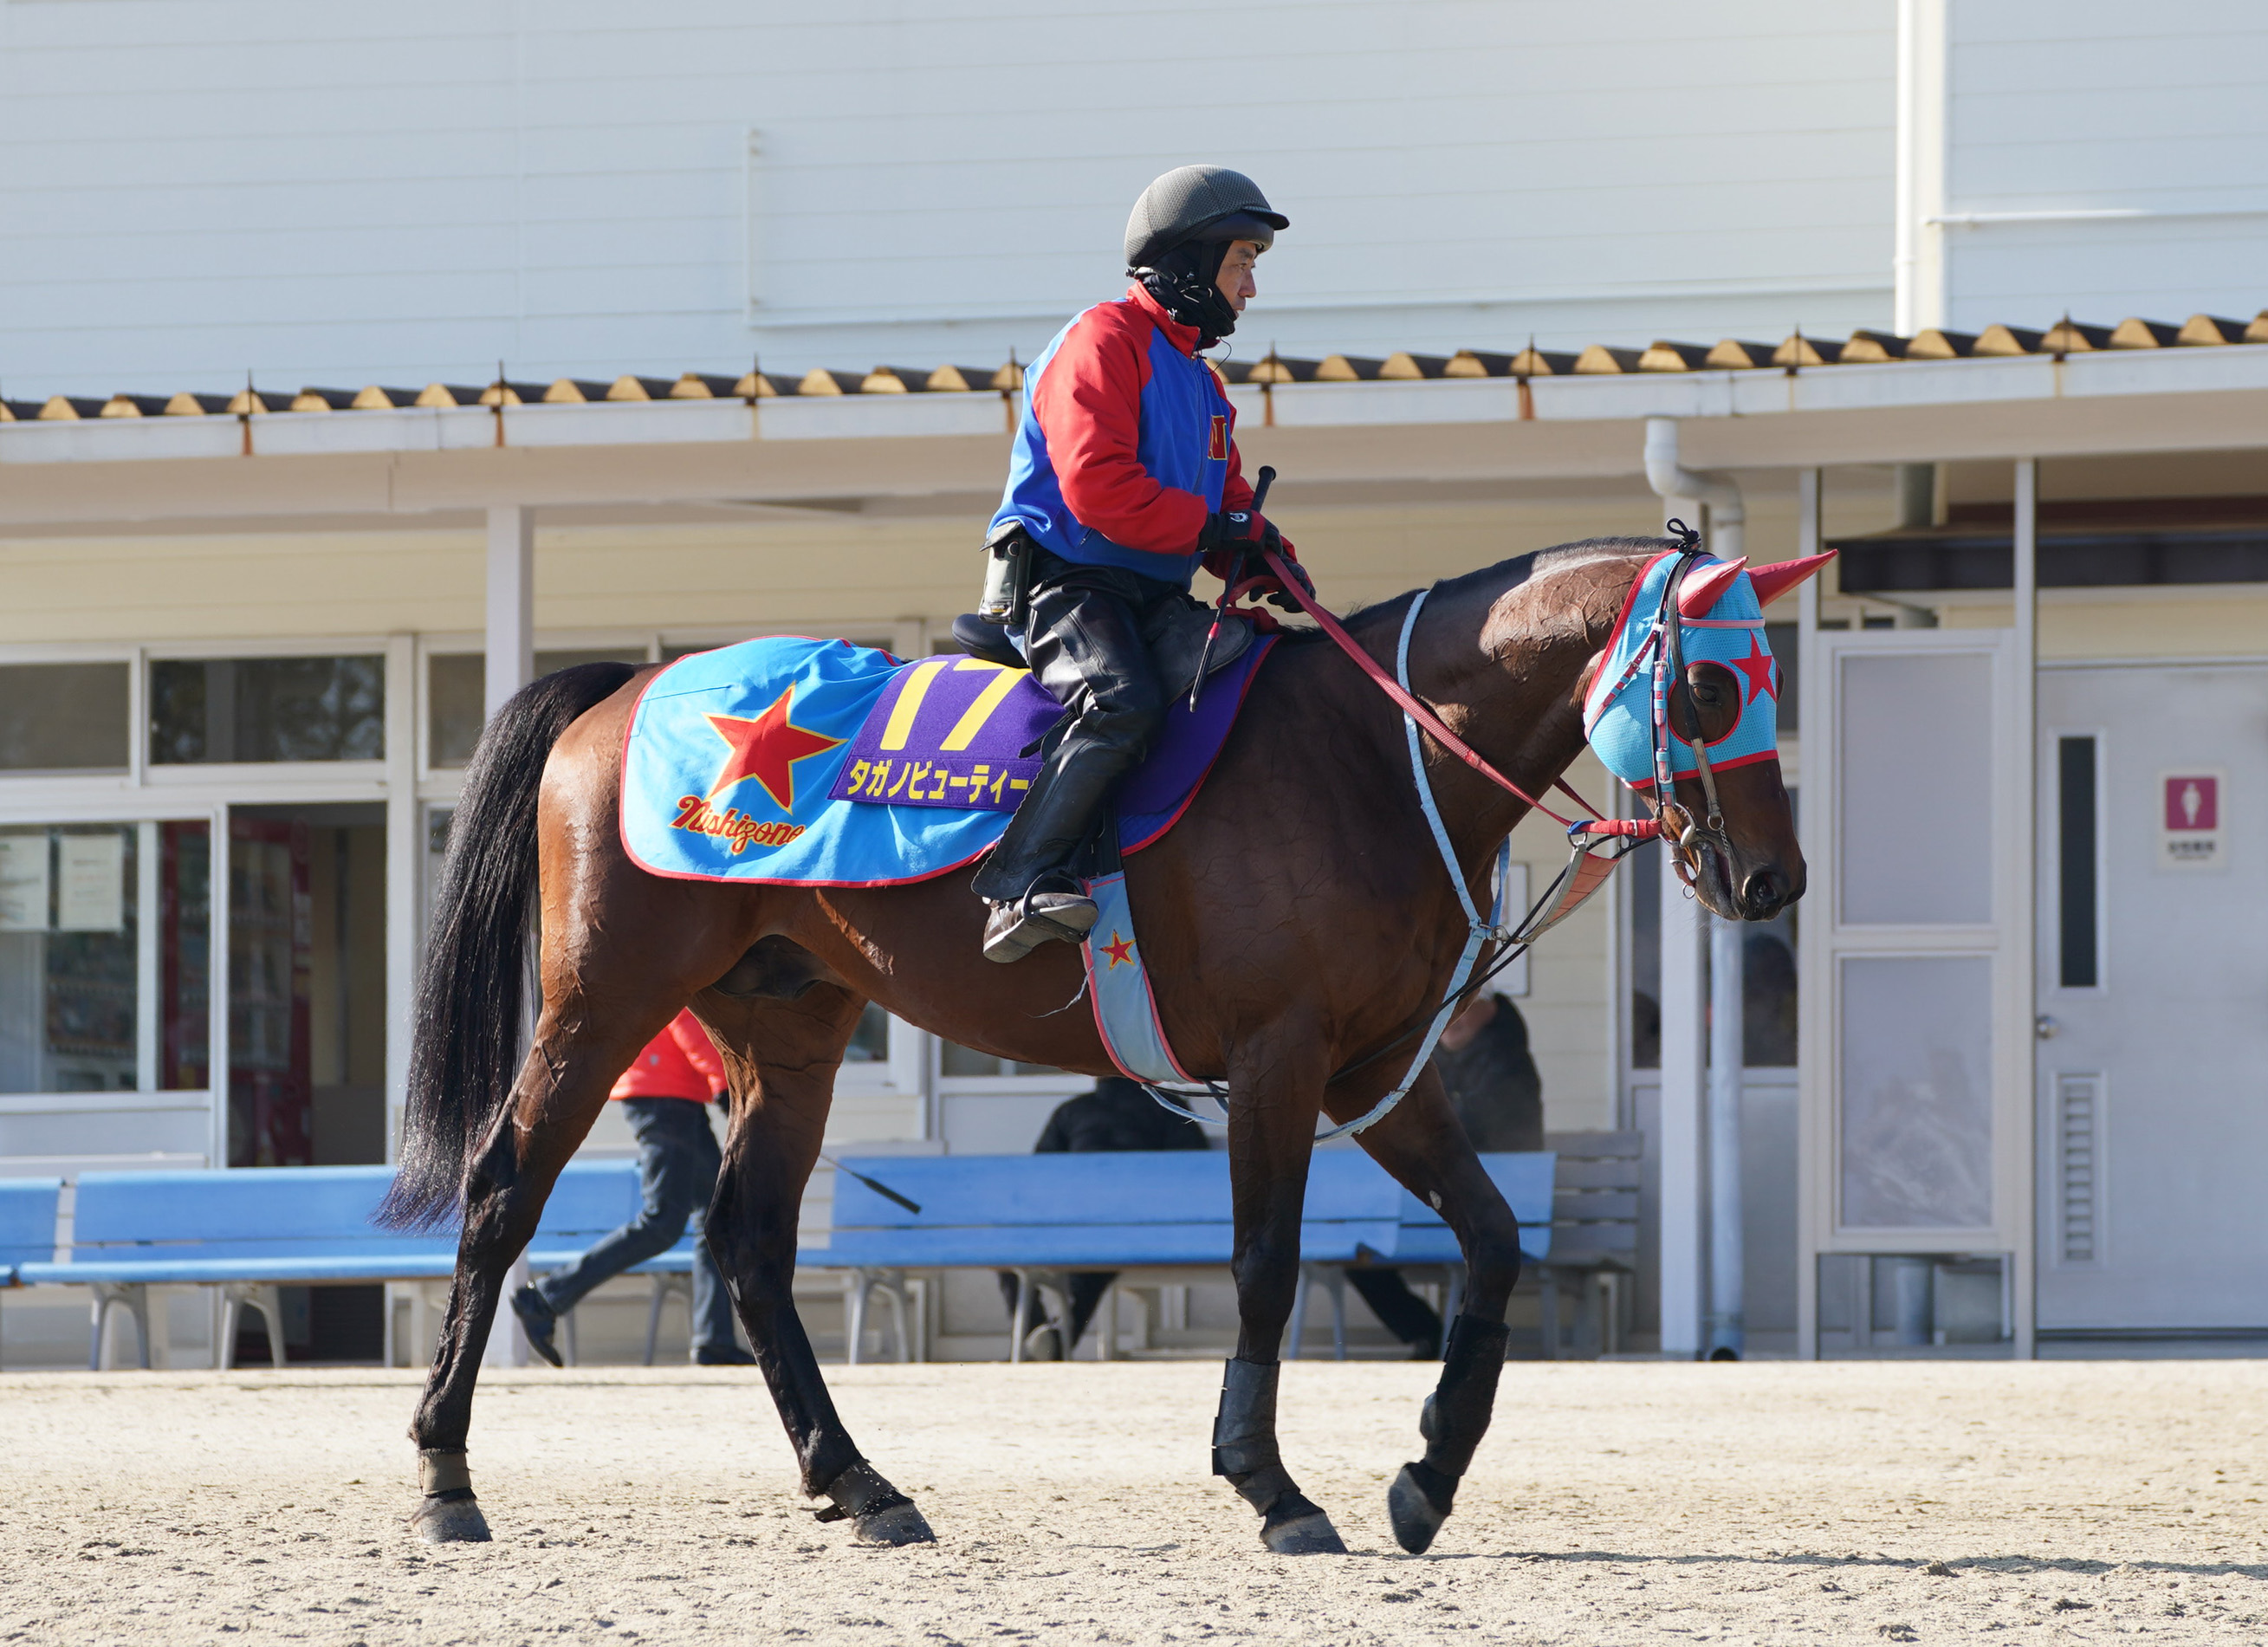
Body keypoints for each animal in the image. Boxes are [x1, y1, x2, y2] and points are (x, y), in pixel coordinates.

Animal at [380, 533, 1814, 1560]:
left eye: (1773, 681)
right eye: (1707, 683)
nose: (1773, 879)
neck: (1366, 755)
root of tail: (624, 687)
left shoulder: (1373, 1067)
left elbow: (1495, 1238)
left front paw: (1427, 1471)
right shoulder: (1281, 1064)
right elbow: (1263, 1266)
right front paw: (1268, 1482)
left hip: (788, 1031)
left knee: (748, 1242)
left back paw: (858, 1480)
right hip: (601, 1006)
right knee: (504, 1195)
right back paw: (445, 1469)